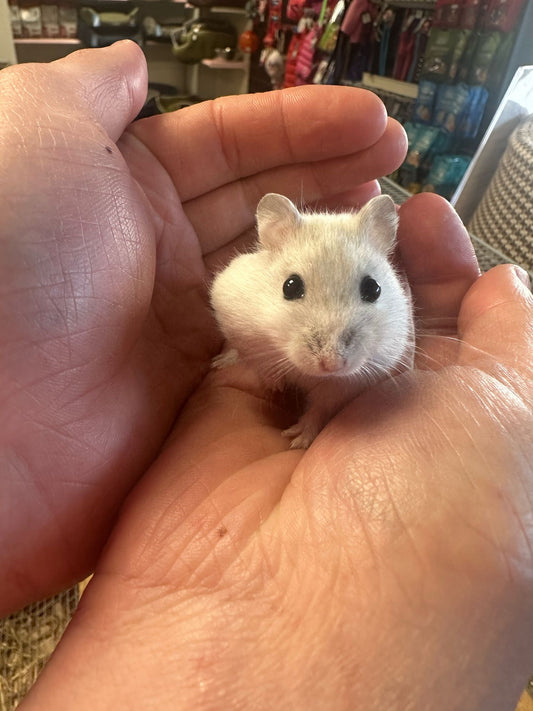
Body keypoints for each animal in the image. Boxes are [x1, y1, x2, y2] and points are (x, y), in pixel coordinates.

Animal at [210, 193, 415, 449]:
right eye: (290, 286)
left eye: (373, 289)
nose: (332, 365)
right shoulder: (241, 328)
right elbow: (260, 364)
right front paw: (276, 386)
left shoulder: (343, 386)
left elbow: (320, 409)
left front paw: (296, 439)